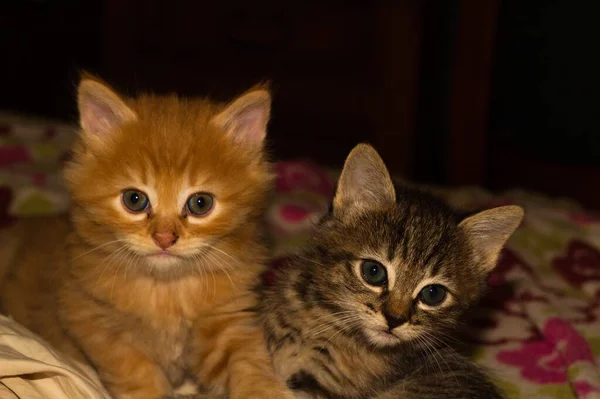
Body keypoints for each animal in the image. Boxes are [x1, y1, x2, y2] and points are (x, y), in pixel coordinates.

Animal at [0, 76, 294, 399]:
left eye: (200, 203)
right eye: (134, 200)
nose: (164, 238)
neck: (166, 293)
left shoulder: (227, 320)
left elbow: (249, 362)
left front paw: (263, 390)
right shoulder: (94, 321)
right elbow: (137, 375)